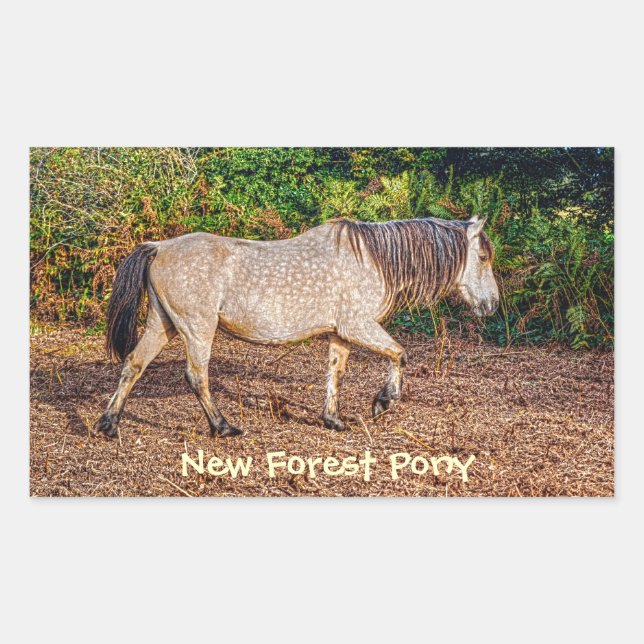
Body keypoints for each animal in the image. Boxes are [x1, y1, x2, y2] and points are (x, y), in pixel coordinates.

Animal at [98, 215, 499, 438]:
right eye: (482, 256)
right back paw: (223, 427)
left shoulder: (340, 333)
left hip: (162, 324)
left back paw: (109, 424)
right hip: (198, 329)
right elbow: (399, 354)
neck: (372, 259)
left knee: (133, 364)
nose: (492, 304)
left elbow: (335, 374)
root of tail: (160, 247)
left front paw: (333, 420)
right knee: (196, 377)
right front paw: (383, 402)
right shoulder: (359, 326)